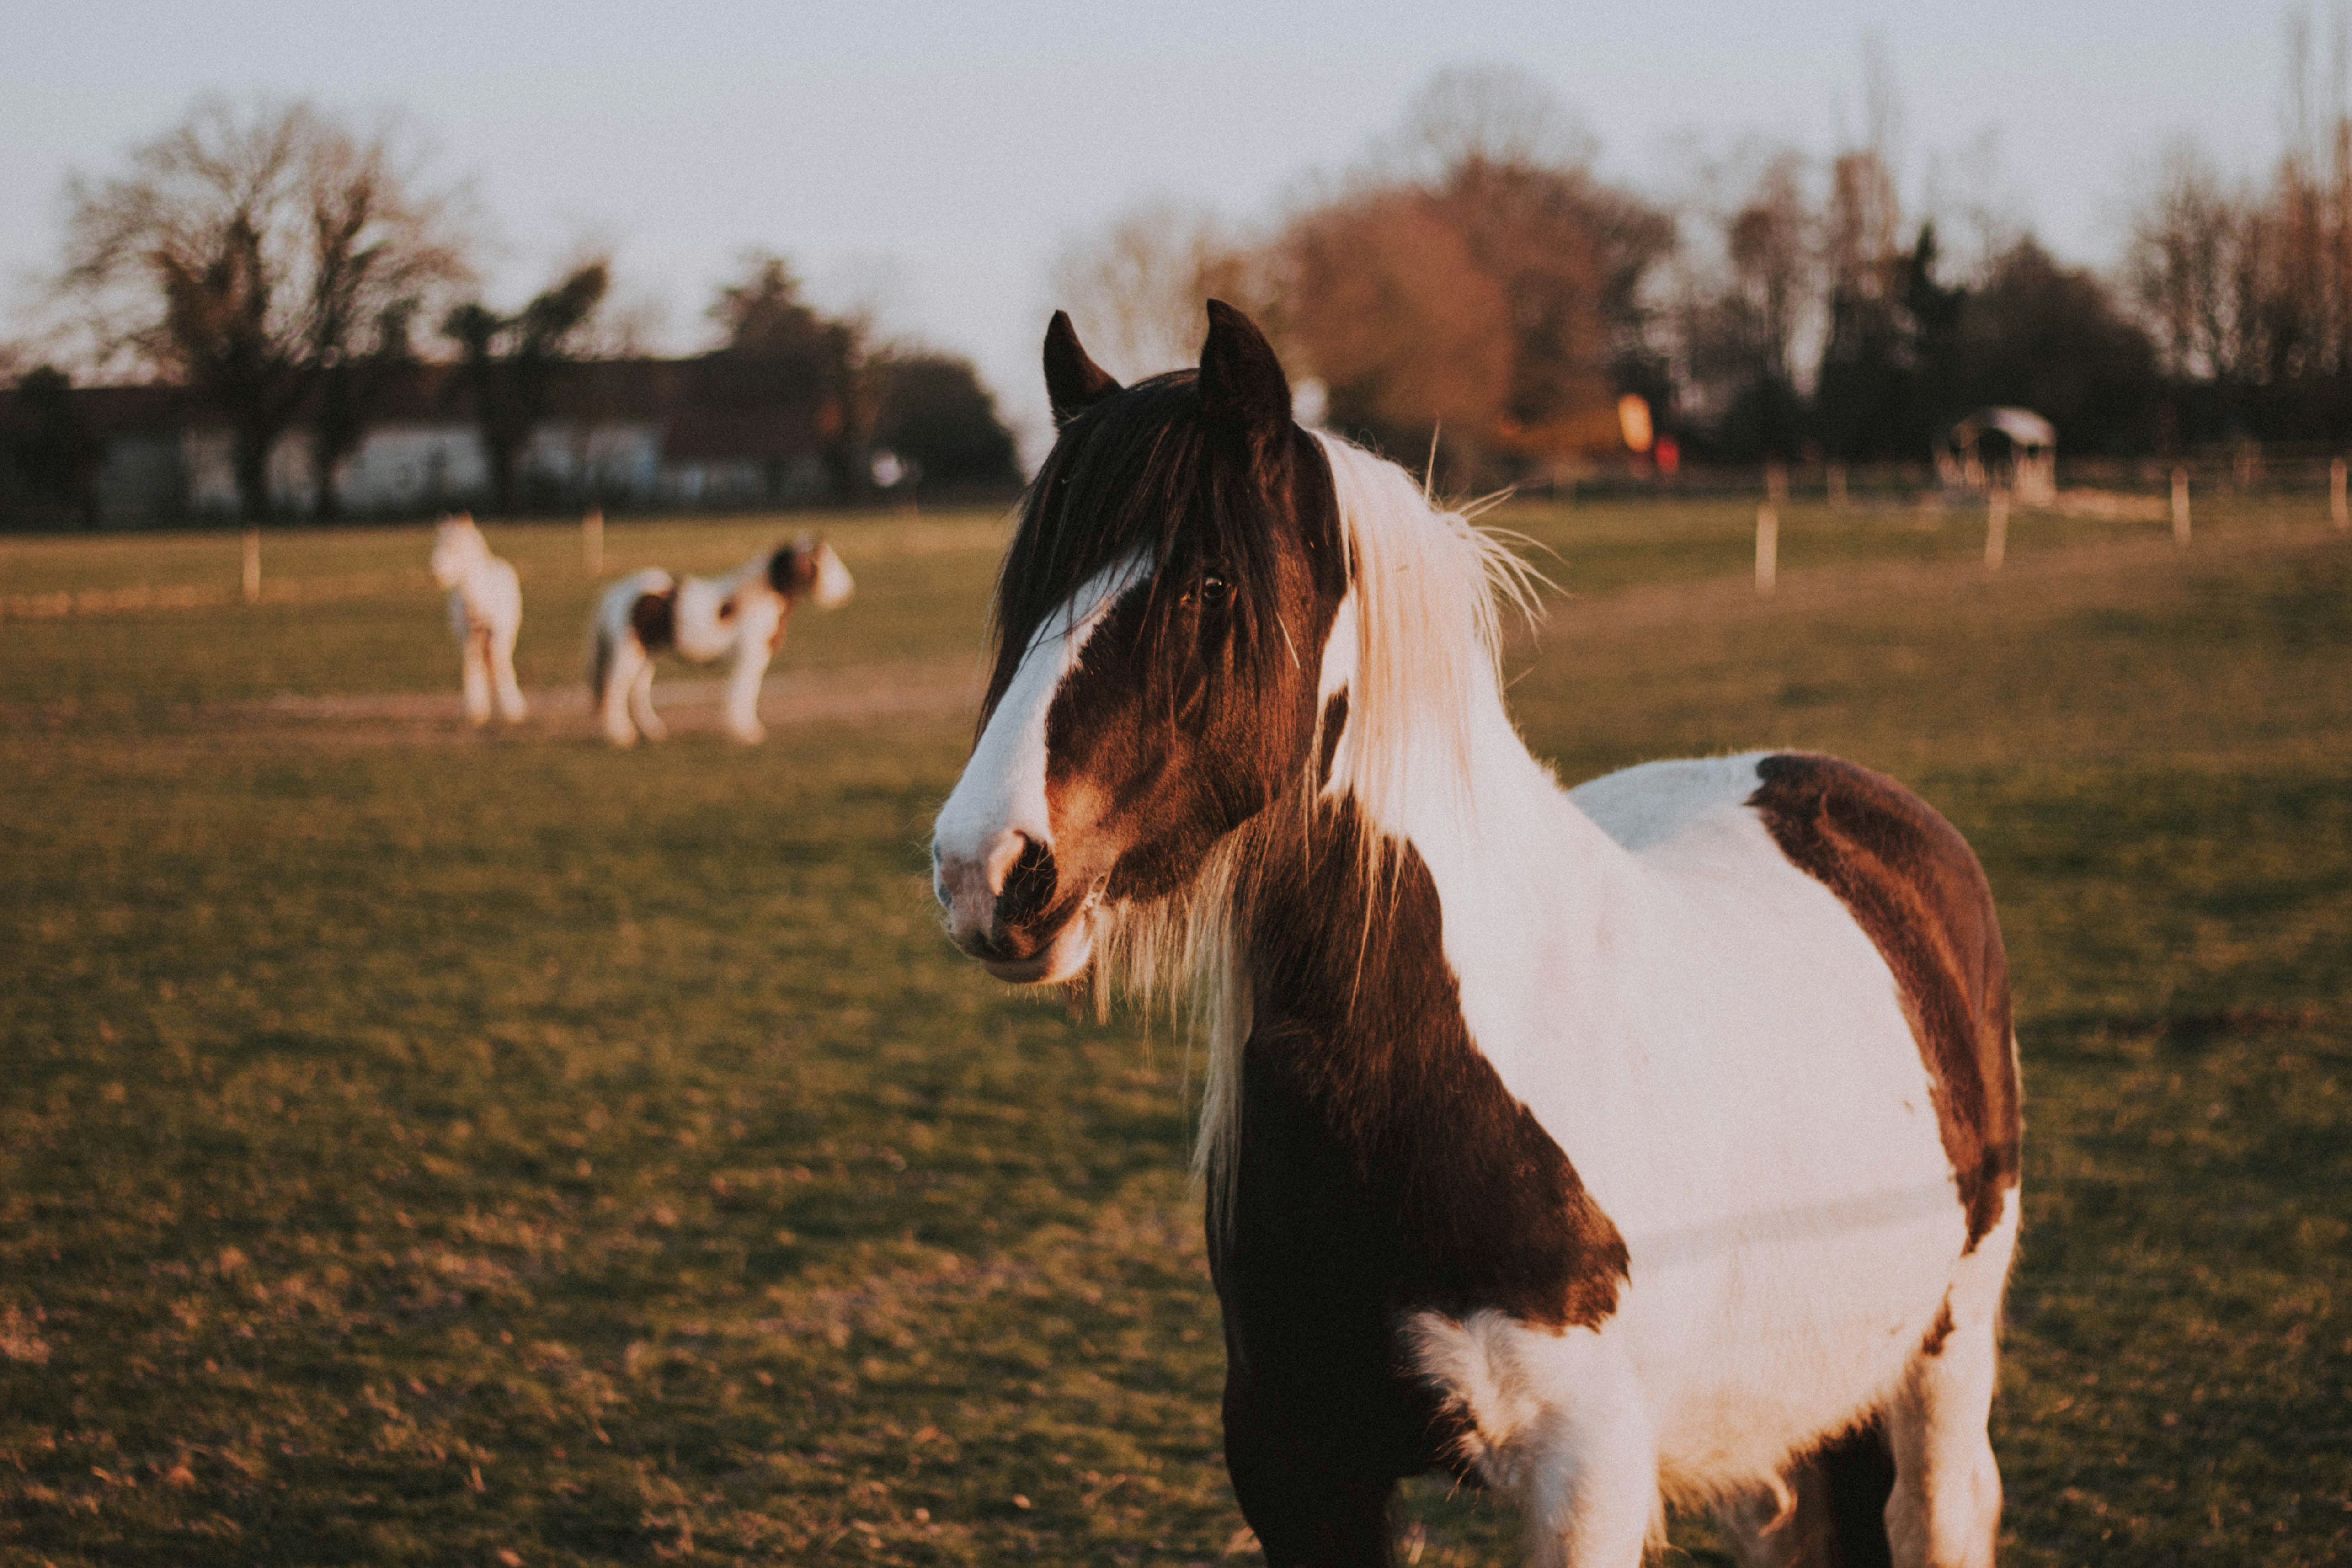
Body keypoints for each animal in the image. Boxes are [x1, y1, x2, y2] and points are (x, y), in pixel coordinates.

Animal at [429, 514, 527, 726]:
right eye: (437, 545)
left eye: (455, 547)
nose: (436, 575)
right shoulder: (469, 637)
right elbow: (472, 669)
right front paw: (475, 713)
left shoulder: (497, 635)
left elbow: (501, 667)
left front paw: (512, 712)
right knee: (484, 666)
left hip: (507, 635)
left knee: (501, 662)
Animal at [588, 537, 854, 746]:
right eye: (823, 562)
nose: (848, 592)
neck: (757, 599)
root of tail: (616, 593)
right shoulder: (750, 658)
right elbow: (744, 691)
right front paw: (746, 733)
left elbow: (747, 692)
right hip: (629, 654)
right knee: (615, 691)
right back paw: (621, 737)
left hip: (646, 655)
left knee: (636, 692)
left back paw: (654, 733)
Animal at [929, 303, 2021, 1568]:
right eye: (1031, 594)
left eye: (1208, 584)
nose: (984, 869)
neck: (1438, 1066)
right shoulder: (1298, 1466)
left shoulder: (1584, 1477)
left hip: (1947, 1349)